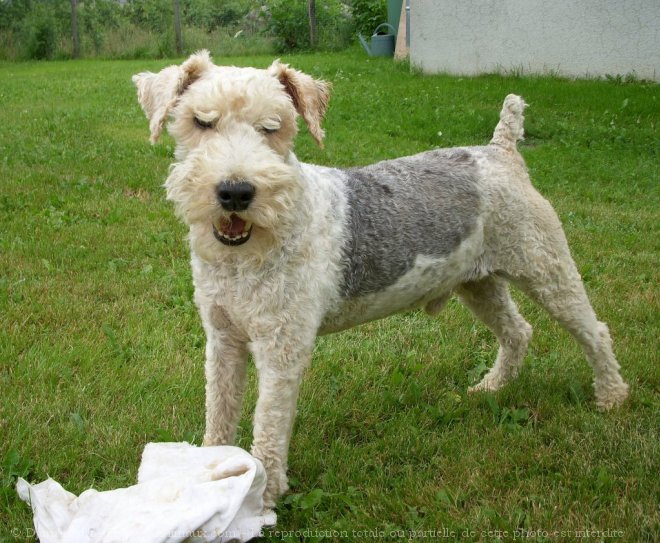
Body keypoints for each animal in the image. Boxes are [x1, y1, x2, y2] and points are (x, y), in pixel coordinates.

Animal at [130, 51, 628, 506]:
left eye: (273, 127)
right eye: (201, 121)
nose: (235, 192)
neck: (246, 258)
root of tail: (500, 150)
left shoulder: (281, 347)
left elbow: (267, 427)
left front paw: (265, 494)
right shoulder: (223, 338)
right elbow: (220, 413)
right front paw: (211, 471)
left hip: (546, 267)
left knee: (595, 332)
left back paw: (612, 397)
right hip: (479, 283)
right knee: (518, 331)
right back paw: (490, 387)